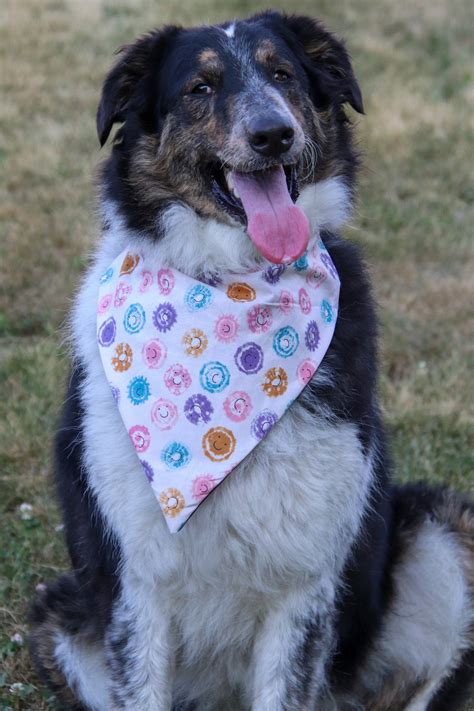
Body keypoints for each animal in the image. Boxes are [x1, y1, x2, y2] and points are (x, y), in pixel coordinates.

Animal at [30, 11, 474, 711]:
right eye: (200, 88)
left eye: (283, 74)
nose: (273, 134)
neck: (233, 283)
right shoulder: (135, 585)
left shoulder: (307, 584)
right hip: (62, 618)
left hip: (440, 534)